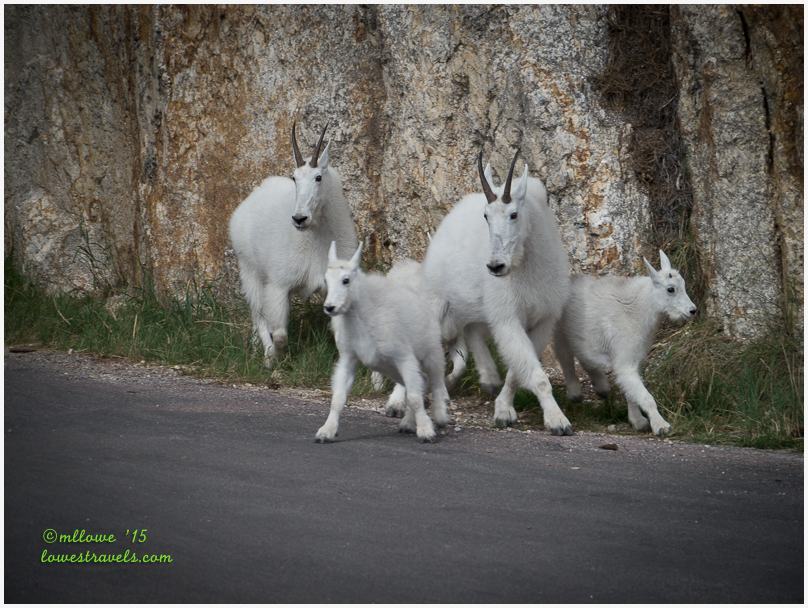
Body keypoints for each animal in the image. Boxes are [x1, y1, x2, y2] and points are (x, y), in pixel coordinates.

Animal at [229, 122, 357, 367]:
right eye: (294, 177)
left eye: (318, 177)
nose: (299, 218)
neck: (314, 238)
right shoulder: (278, 285)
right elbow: (279, 334)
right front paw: (276, 360)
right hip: (249, 270)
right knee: (258, 313)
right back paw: (265, 353)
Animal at [316, 243, 450, 443]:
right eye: (326, 280)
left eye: (346, 280)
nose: (330, 307)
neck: (361, 316)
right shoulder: (348, 358)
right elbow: (338, 397)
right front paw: (326, 431)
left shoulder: (404, 356)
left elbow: (414, 397)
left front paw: (426, 431)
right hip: (390, 367)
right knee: (422, 381)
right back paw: (408, 423)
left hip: (431, 352)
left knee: (436, 380)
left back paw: (440, 416)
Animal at [421, 147, 573, 434]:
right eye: (486, 216)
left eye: (514, 214)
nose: (495, 266)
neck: (526, 265)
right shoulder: (508, 317)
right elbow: (536, 375)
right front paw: (557, 420)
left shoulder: (542, 321)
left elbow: (517, 371)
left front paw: (504, 410)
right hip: (438, 301)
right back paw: (398, 402)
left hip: (475, 306)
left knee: (472, 331)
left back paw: (487, 379)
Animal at [553, 250, 697, 436]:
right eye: (670, 289)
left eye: (684, 284)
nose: (692, 310)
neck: (639, 308)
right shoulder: (625, 358)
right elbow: (646, 397)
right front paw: (661, 426)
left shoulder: (636, 358)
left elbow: (631, 392)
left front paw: (638, 421)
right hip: (559, 331)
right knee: (565, 357)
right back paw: (575, 394)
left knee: (585, 356)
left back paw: (602, 388)